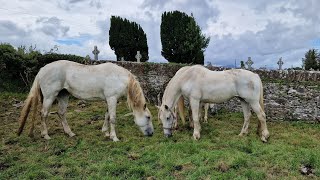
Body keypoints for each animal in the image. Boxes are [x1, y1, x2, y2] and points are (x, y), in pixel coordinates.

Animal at [17, 59, 154, 141]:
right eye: (148, 117)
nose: (151, 133)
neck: (119, 77)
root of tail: (42, 70)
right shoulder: (112, 98)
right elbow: (113, 118)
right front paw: (114, 137)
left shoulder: (108, 100)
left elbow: (107, 116)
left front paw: (105, 132)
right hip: (50, 97)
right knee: (44, 114)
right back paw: (45, 135)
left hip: (63, 95)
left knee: (61, 113)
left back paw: (70, 133)